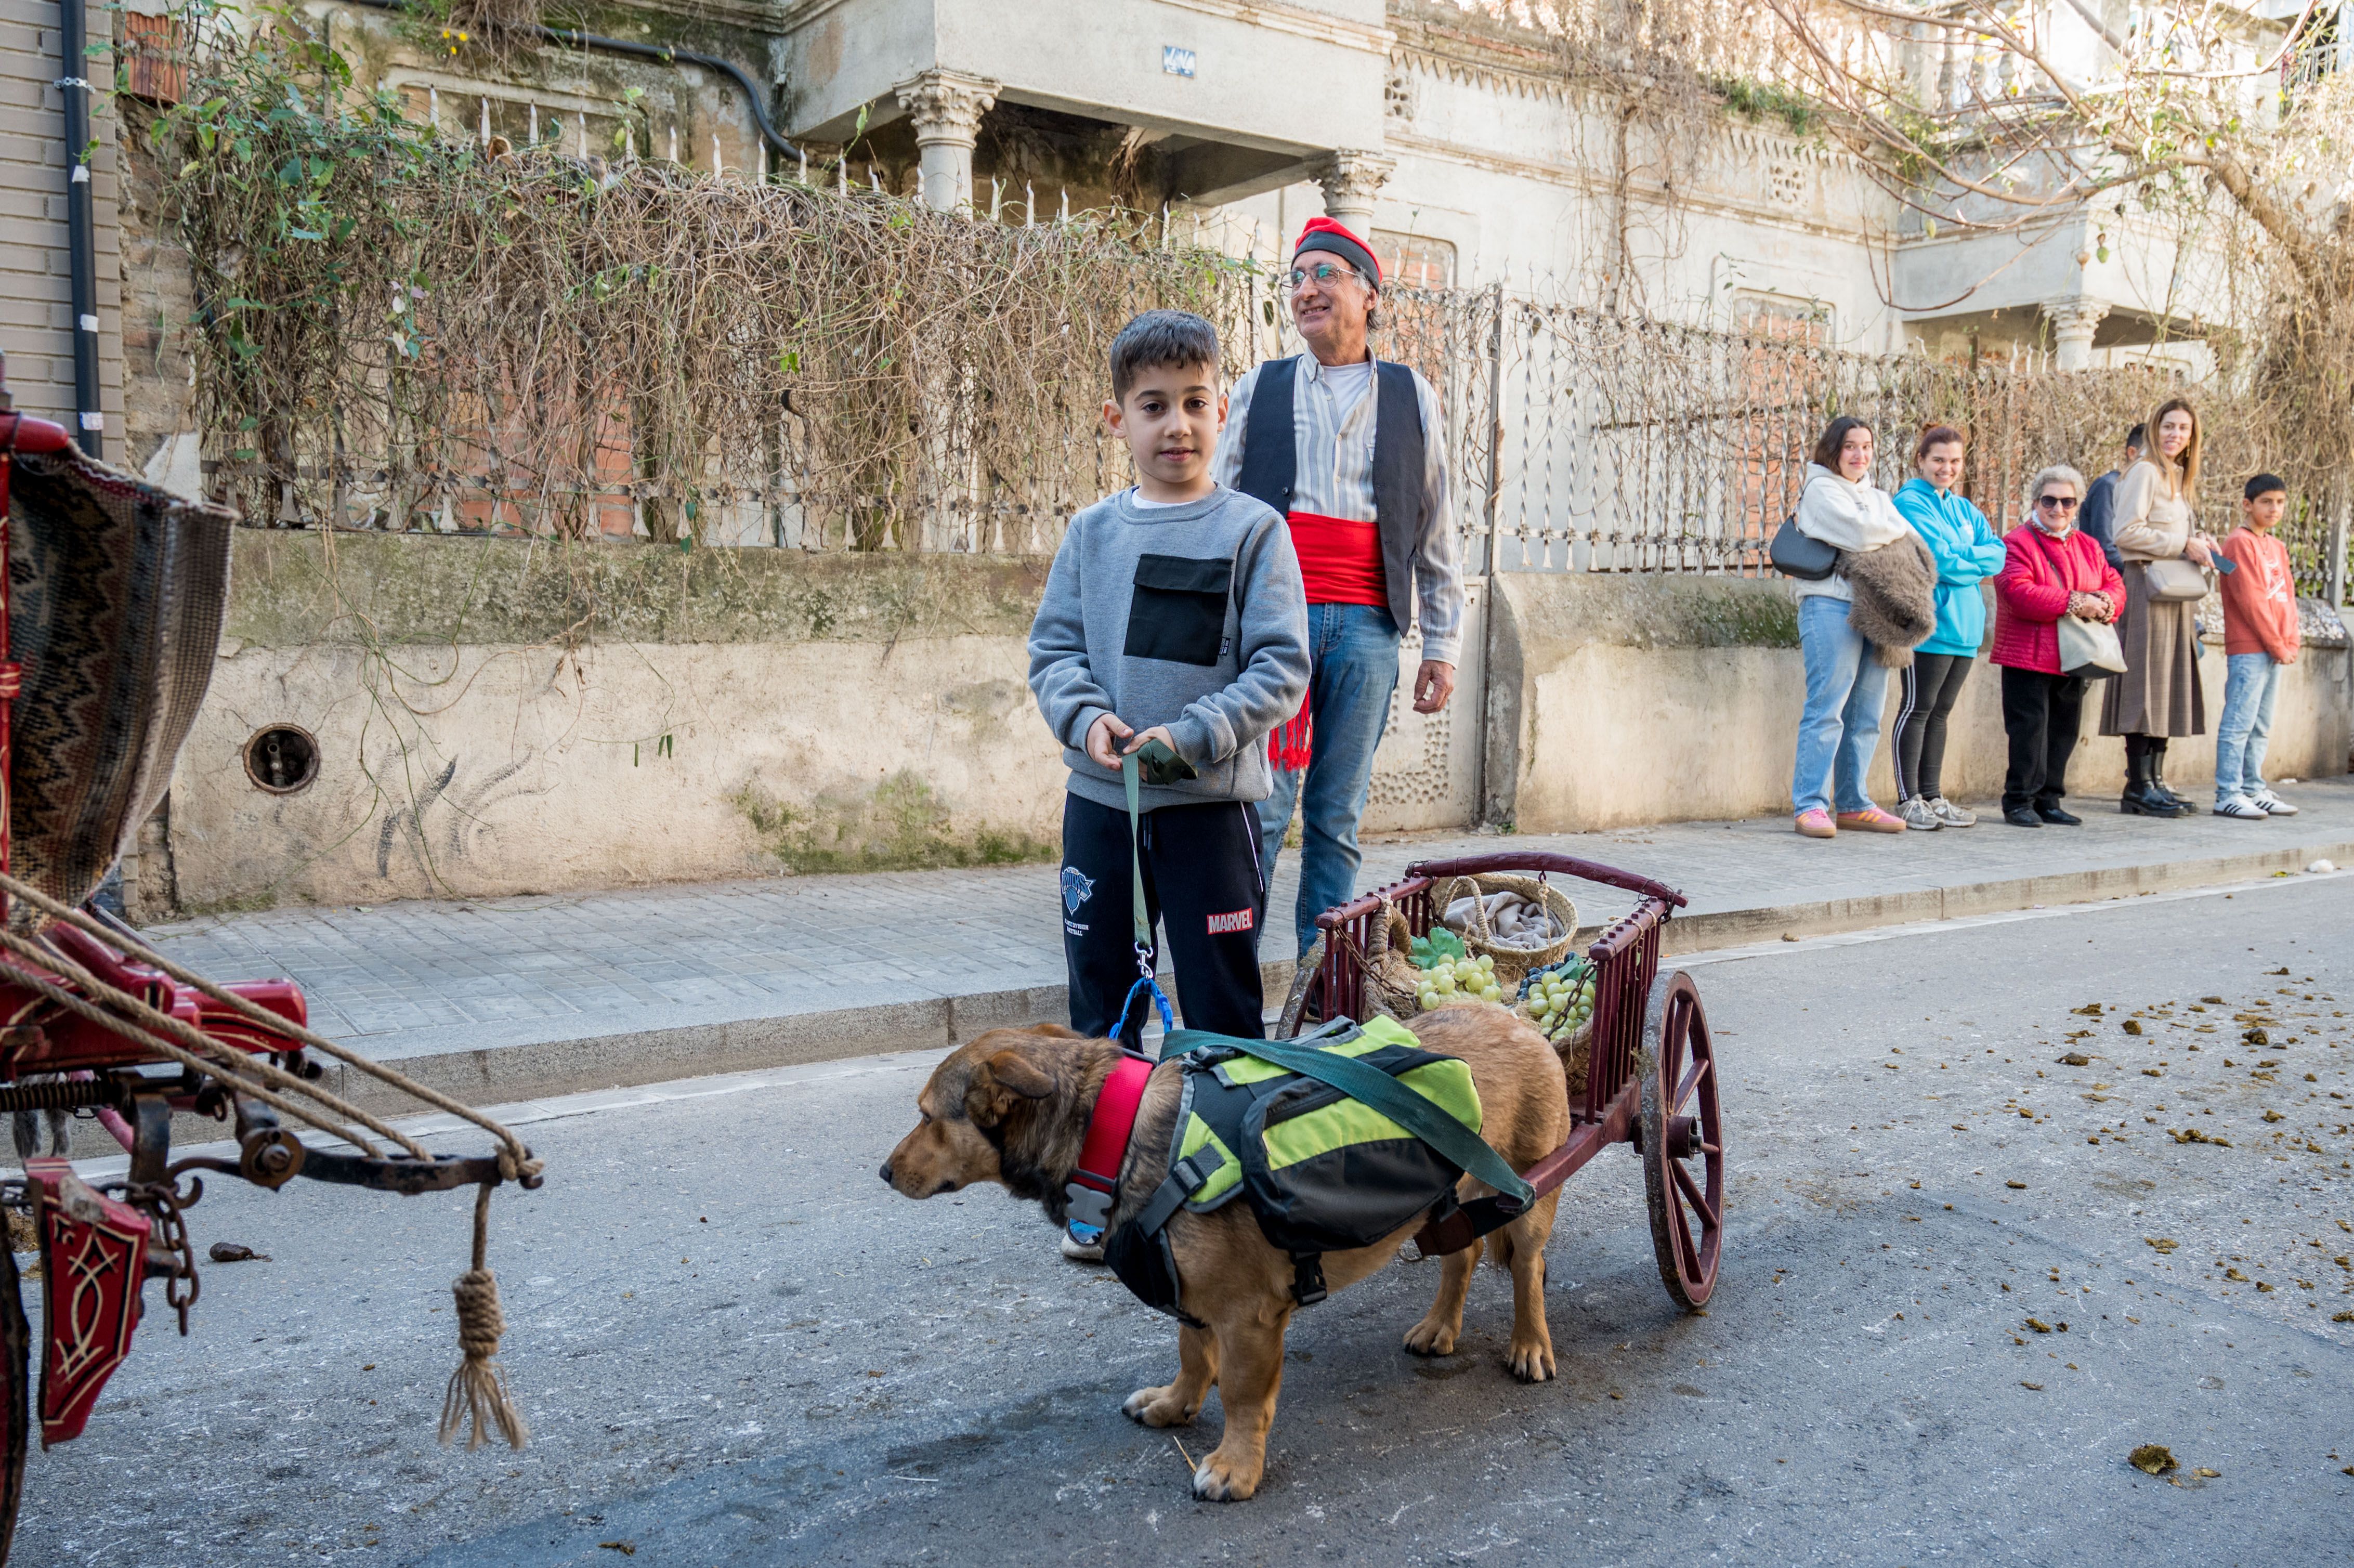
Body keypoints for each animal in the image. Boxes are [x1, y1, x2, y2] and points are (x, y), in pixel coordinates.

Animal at [885, 1008, 1563, 1497]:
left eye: (925, 1116)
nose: (883, 1173)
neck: (1114, 1132)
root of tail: (1518, 1016)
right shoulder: (1193, 1297)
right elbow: (1192, 1354)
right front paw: (1175, 1403)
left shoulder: (1248, 1318)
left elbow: (1240, 1395)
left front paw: (1237, 1466)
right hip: (1449, 1203)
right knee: (1461, 1258)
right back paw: (1440, 1325)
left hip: (1530, 1199)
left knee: (1527, 1269)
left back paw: (1529, 1343)